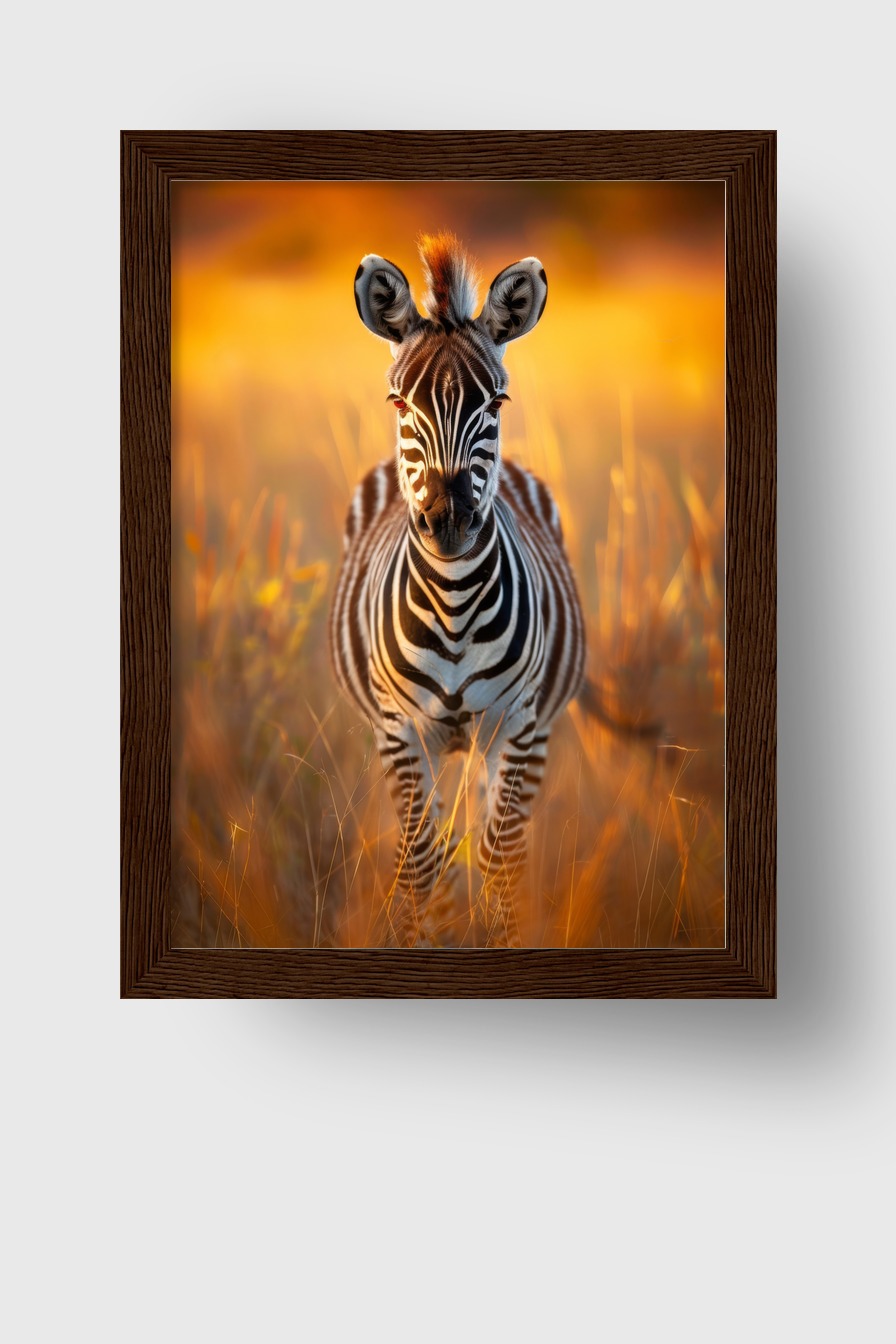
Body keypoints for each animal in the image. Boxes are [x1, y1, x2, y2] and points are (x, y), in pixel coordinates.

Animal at [329, 233, 586, 945]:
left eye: (495, 403)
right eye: (398, 403)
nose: (448, 520)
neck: (452, 606)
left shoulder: (517, 724)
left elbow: (498, 862)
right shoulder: (401, 730)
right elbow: (423, 863)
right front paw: (428, 939)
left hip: (517, 737)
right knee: (435, 845)